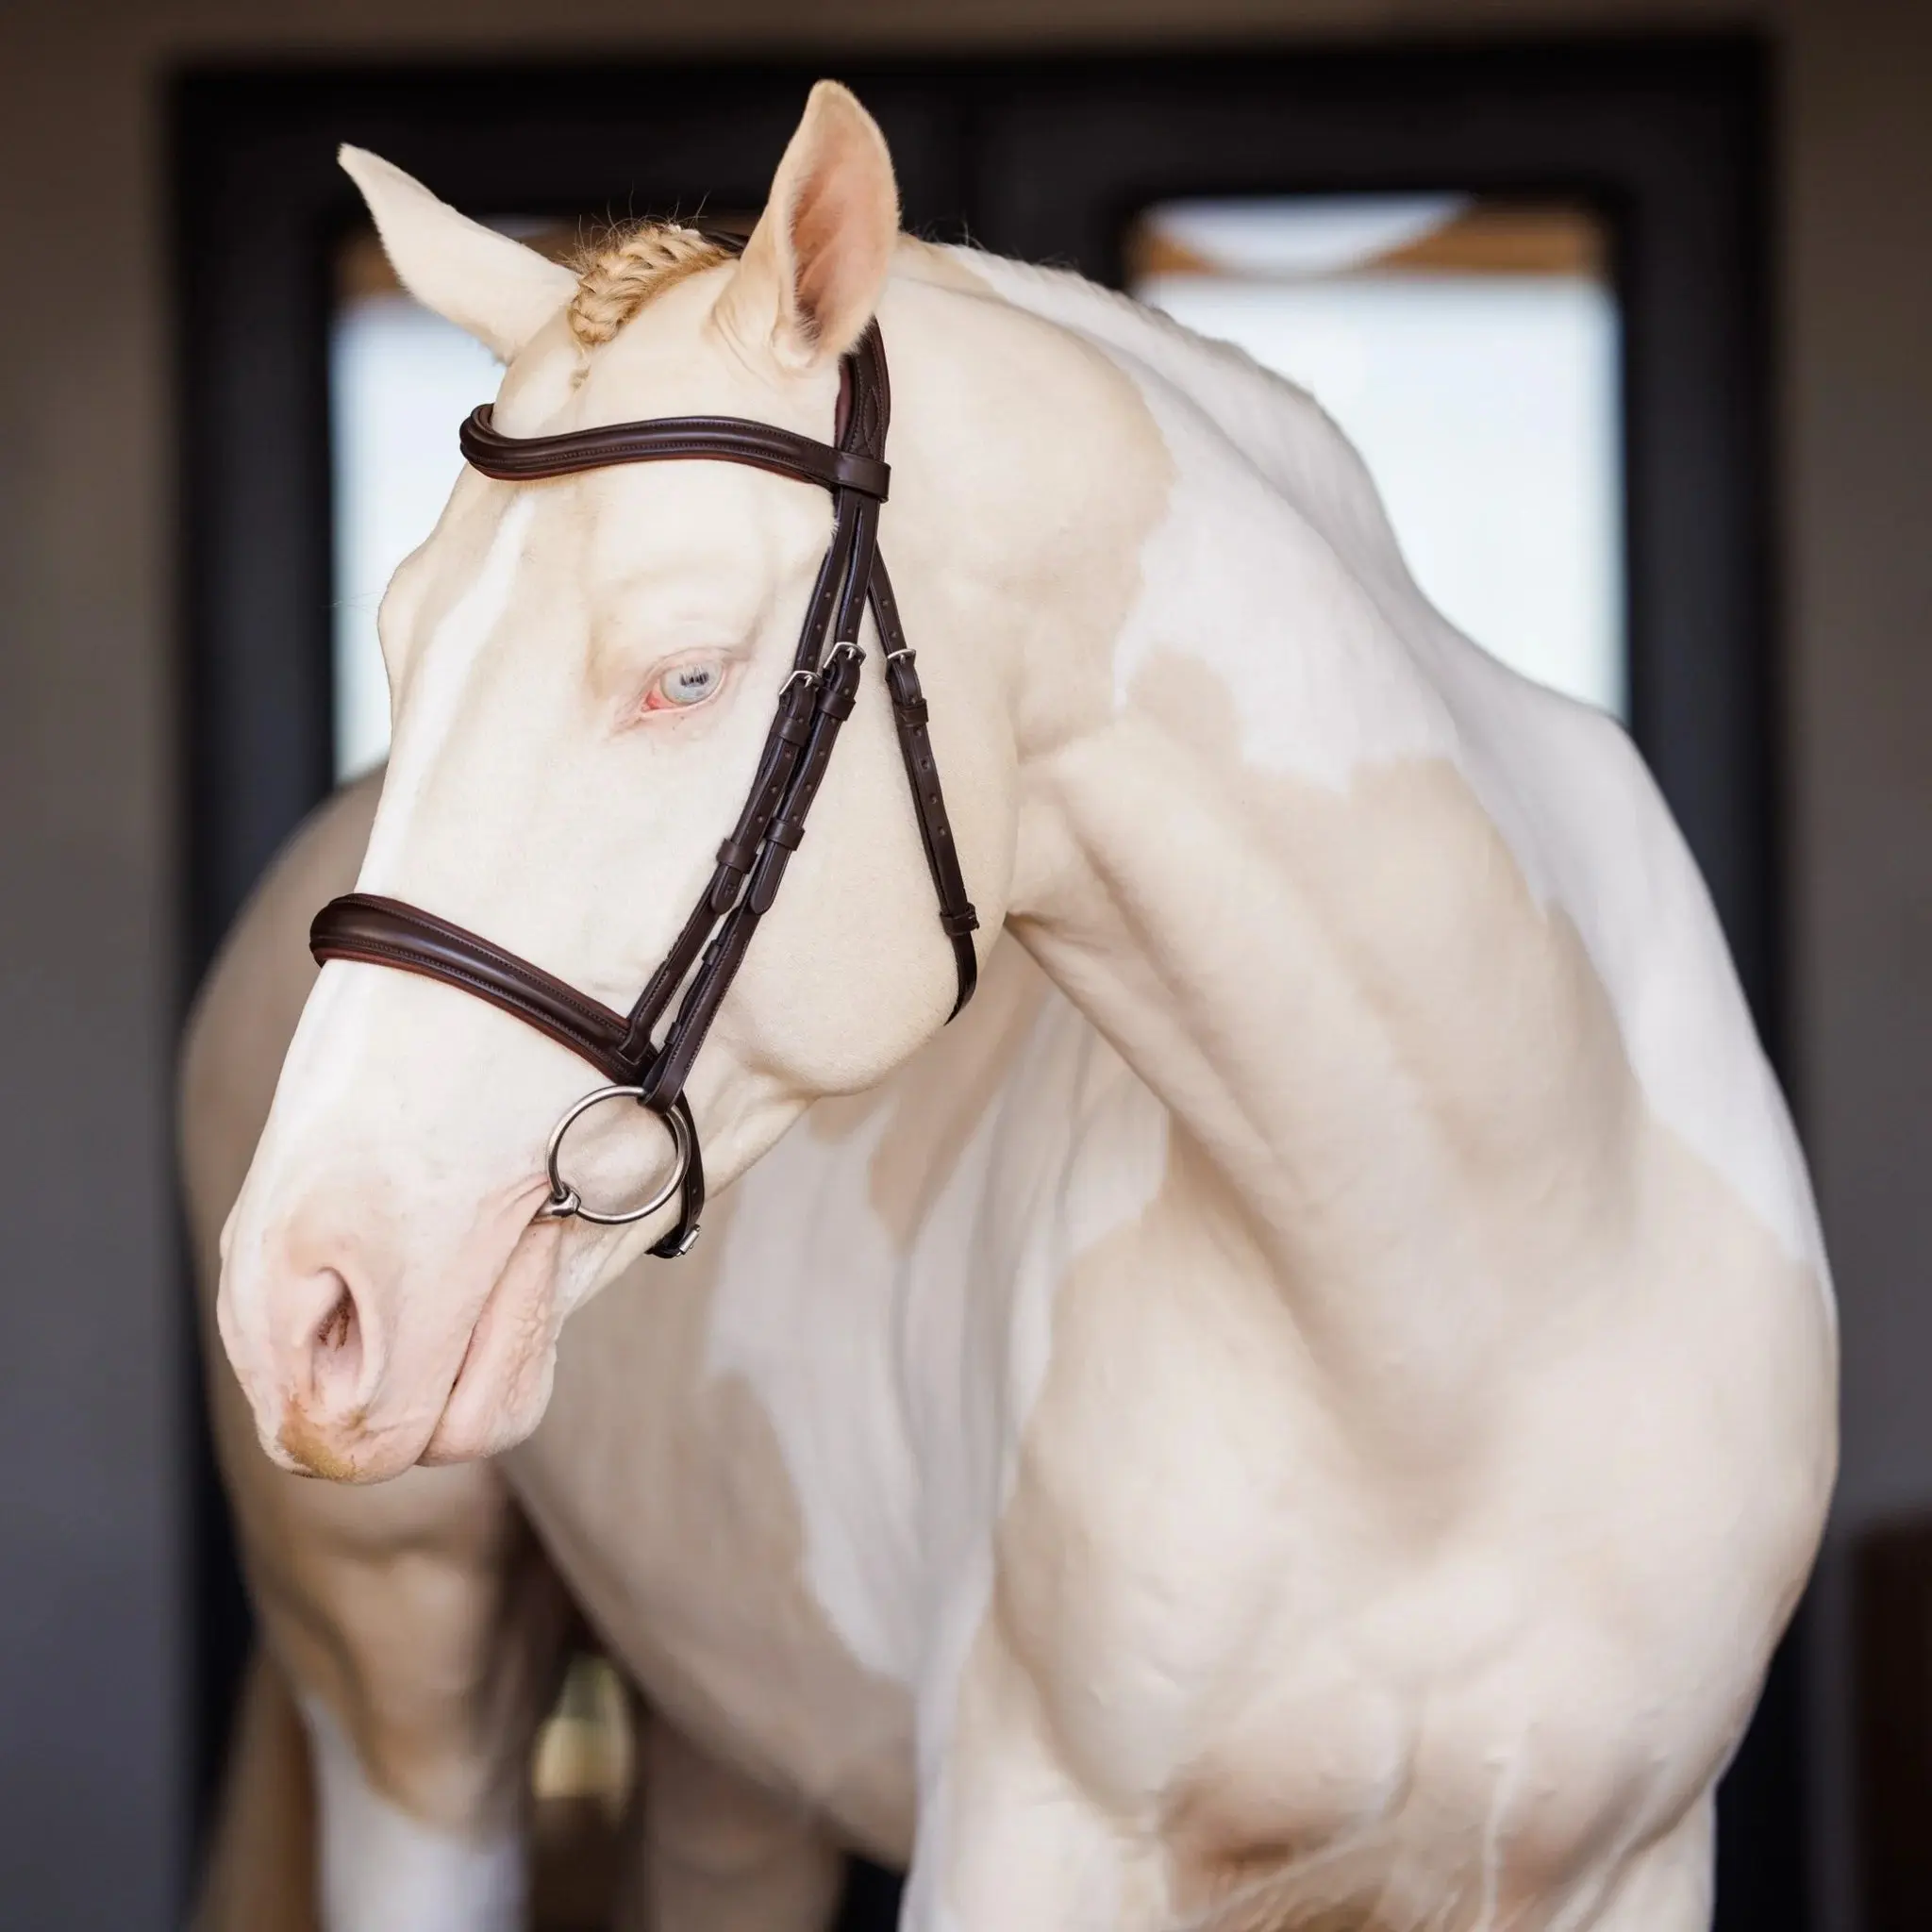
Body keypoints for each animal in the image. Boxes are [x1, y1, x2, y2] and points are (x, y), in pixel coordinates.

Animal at [199, 79, 1836, 1931]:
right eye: (398, 644)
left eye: (686, 673)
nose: (303, 1297)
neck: (1466, 1303)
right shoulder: (1025, 1837)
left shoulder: (1622, 1866)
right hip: (408, 1681)